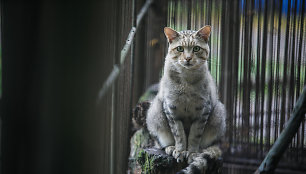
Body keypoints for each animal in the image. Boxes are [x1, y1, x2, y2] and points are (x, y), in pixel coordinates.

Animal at [146, 26, 227, 174]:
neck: (186, 81)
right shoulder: (171, 109)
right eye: (180, 49)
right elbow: (179, 134)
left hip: (218, 112)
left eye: (196, 48)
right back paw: (170, 147)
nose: (188, 58)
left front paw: (192, 152)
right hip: (155, 111)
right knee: (160, 143)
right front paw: (180, 150)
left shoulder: (202, 111)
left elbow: (195, 136)